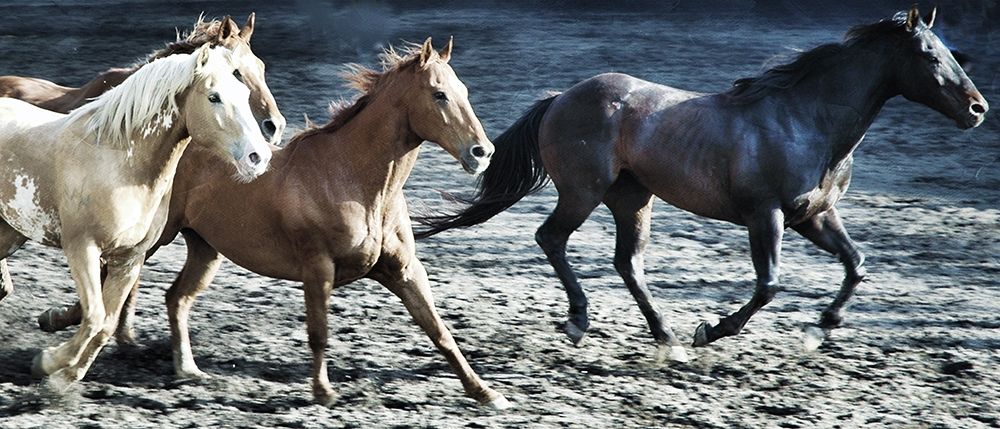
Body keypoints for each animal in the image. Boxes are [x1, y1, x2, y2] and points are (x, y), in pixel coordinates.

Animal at [0, 44, 272, 390]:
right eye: (214, 97)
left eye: (243, 92)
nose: (258, 157)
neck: (119, 163)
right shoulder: (82, 248)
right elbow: (94, 317)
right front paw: (47, 362)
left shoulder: (129, 258)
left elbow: (105, 324)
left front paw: (66, 374)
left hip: (9, 233)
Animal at [415, 7, 988, 360]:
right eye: (930, 56)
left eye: (953, 53)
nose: (978, 109)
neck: (806, 120)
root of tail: (559, 98)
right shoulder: (766, 215)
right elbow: (769, 284)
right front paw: (711, 330)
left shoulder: (814, 216)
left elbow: (857, 265)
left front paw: (819, 328)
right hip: (584, 192)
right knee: (552, 238)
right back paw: (582, 321)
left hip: (633, 199)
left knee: (628, 263)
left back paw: (665, 336)